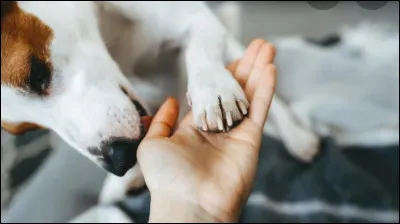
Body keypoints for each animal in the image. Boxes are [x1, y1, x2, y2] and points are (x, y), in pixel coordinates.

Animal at [0, 0, 318, 205]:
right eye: (28, 129)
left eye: (36, 73)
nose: (119, 161)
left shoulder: (198, 21)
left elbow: (199, 51)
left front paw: (212, 90)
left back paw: (299, 138)